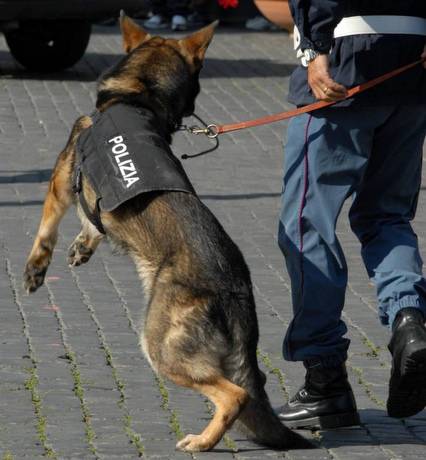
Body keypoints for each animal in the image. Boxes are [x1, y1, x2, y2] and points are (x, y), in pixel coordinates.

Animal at [23, 13, 312, 452]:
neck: (137, 97)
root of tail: (235, 290)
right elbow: (93, 223)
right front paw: (83, 244)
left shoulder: (61, 180)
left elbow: (46, 229)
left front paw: (36, 268)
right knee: (251, 386)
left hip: (160, 347)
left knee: (235, 395)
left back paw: (203, 441)